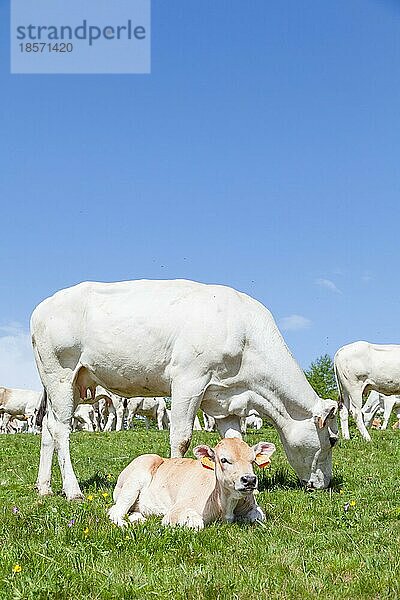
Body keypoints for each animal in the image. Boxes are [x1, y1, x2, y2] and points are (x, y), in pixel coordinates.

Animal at [30, 278, 338, 500]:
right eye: (333, 440)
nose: (325, 485)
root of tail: (43, 306)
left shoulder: (225, 401)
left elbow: (235, 440)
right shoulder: (189, 380)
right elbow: (181, 438)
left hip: (63, 382)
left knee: (48, 427)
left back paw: (44, 487)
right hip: (60, 374)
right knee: (61, 430)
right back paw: (72, 490)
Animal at [108, 436, 276, 528]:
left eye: (253, 460)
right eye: (224, 460)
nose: (249, 480)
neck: (225, 504)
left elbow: (258, 516)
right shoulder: (175, 511)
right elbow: (196, 523)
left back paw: (139, 519)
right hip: (134, 480)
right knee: (115, 511)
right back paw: (124, 524)